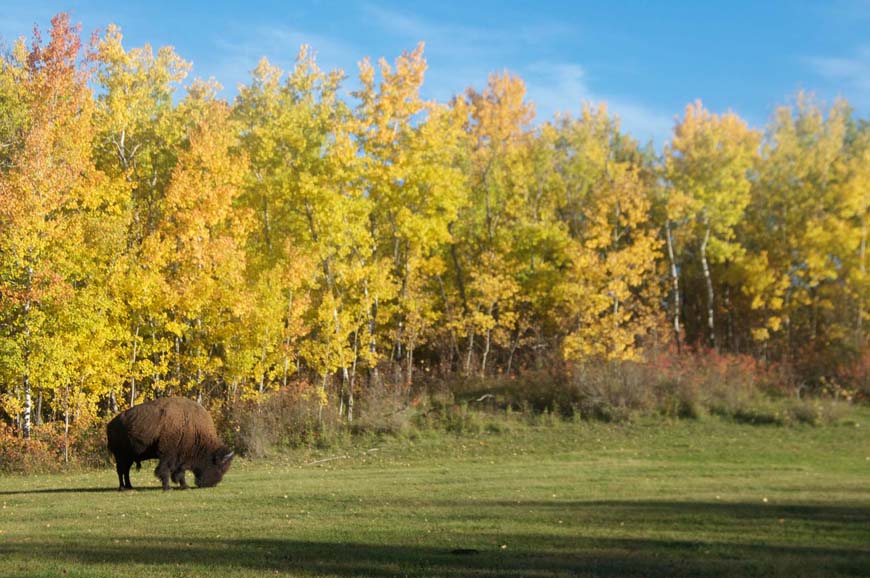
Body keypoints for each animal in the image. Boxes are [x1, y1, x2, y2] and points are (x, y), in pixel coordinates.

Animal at [106, 394, 235, 488]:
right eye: (219, 466)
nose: (212, 484)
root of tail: (110, 424)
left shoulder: (181, 458)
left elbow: (179, 473)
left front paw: (185, 486)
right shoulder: (168, 456)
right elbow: (165, 470)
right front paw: (168, 487)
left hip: (129, 458)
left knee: (125, 471)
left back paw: (129, 486)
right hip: (121, 456)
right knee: (121, 471)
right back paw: (122, 488)